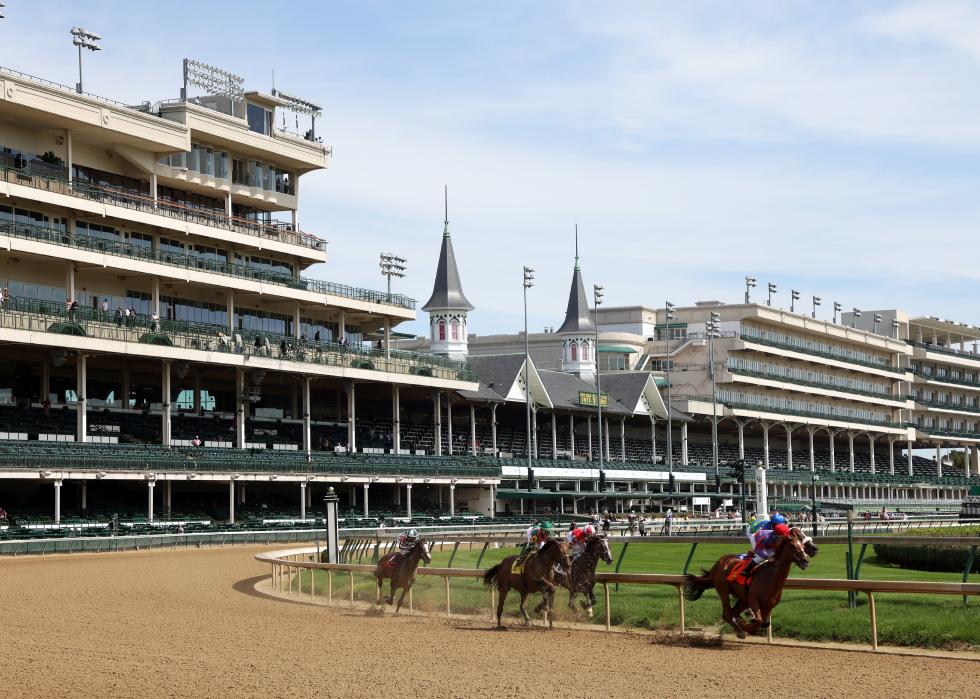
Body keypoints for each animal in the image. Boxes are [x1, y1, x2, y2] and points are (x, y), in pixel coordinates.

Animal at [680, 532, 812, 640]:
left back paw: (741, 622)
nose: (805, 561)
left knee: (733, 612)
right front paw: (746, 627)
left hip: (743, 599)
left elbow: (765, 622)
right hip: (724, 590)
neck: (770, 577)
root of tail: (717, 564)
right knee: (727, 614)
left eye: (803, 546)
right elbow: (759, 621)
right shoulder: (753, 599)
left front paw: (746, 623)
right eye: (793, 546)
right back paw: (740, 631)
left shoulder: (769, 605)